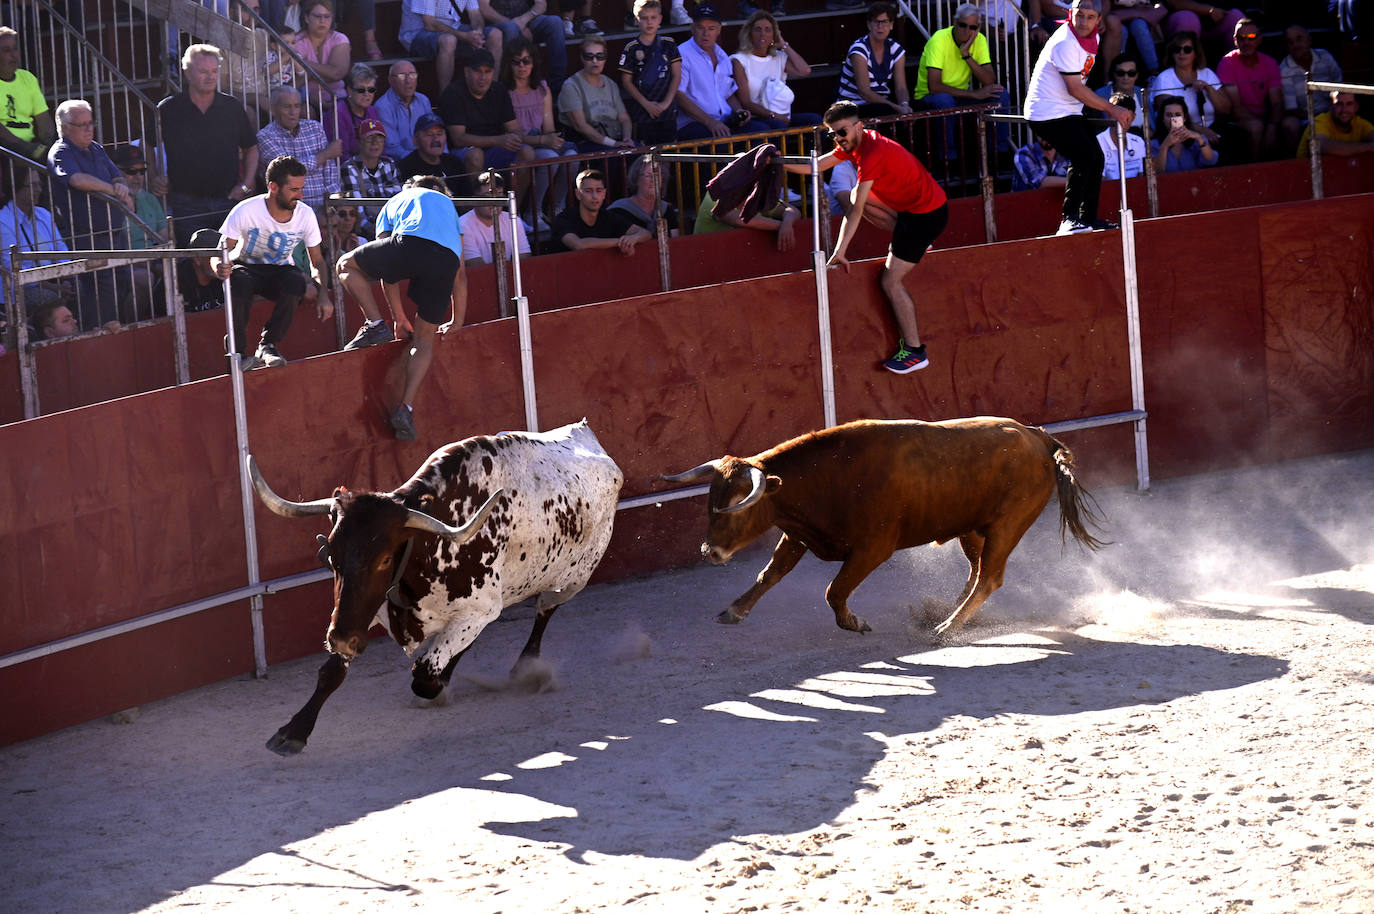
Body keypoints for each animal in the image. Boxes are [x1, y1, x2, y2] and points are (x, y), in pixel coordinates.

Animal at [250, 417, 626, 753]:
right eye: (331, 554)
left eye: (384, 559)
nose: (341, 638)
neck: (431, 540)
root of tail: (589, 436)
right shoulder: (364, 609)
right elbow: (332, 671)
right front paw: (294, 731)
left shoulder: (479, 609)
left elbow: (423, 672)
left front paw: (437, 685)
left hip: (574, 579)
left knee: (544, 612)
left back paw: (525, 666)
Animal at [662, 417, 1104, 637]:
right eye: (710, 503)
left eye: (736, 508)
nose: (709, 552)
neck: (829, 477)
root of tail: (1039, 437)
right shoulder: (799, 534)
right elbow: (770, 574)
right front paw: (734, 611)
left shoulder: (873, 548)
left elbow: (834, 590)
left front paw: (854, 623)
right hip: (972, 529)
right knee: (977, 571)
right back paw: (948, 613)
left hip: (1008, 525)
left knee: (989, 577)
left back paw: (946, 627)